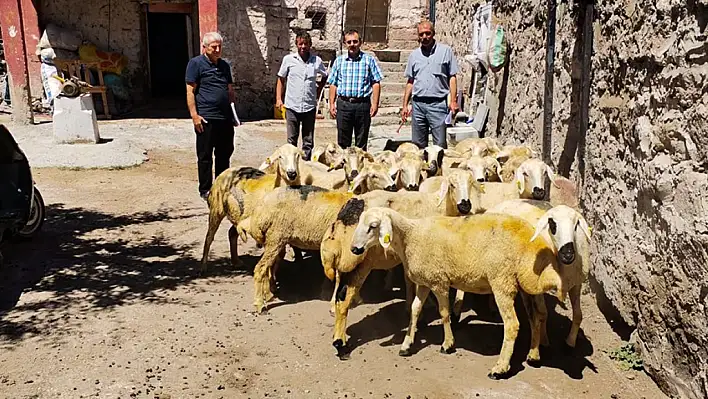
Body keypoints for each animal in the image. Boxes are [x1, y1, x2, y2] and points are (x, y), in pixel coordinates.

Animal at [350, 208, 592, 380]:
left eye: (373, 226)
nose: (354, 249)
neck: (411, 236)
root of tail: (530, 239)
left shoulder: (439, 281)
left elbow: (444, 313)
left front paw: (448, 344)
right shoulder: (425, 282)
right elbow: (414, 310)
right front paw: (407, 344)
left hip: (501, 281)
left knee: (513, 324)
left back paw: (500, 368)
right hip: (524, 285)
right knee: (536, 317)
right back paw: (533, 355)